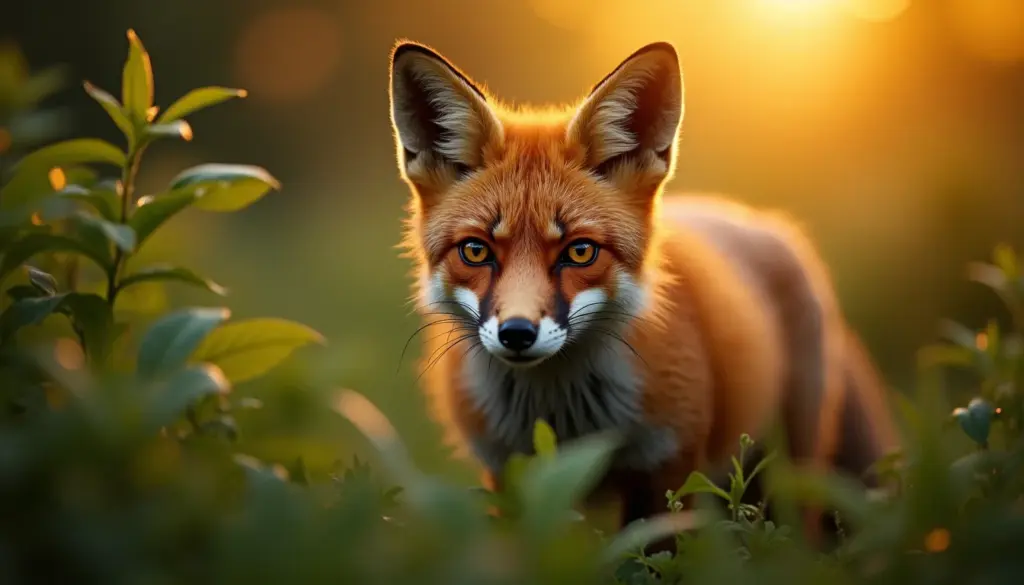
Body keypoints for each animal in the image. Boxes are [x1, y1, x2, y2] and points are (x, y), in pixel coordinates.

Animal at [387, 39, 900, 547]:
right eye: (476, 251)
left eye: (580, 252)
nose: (516, 333)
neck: (565, 417)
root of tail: (760, 221)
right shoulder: (512, 477)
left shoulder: (668, 469)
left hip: (787, 471)